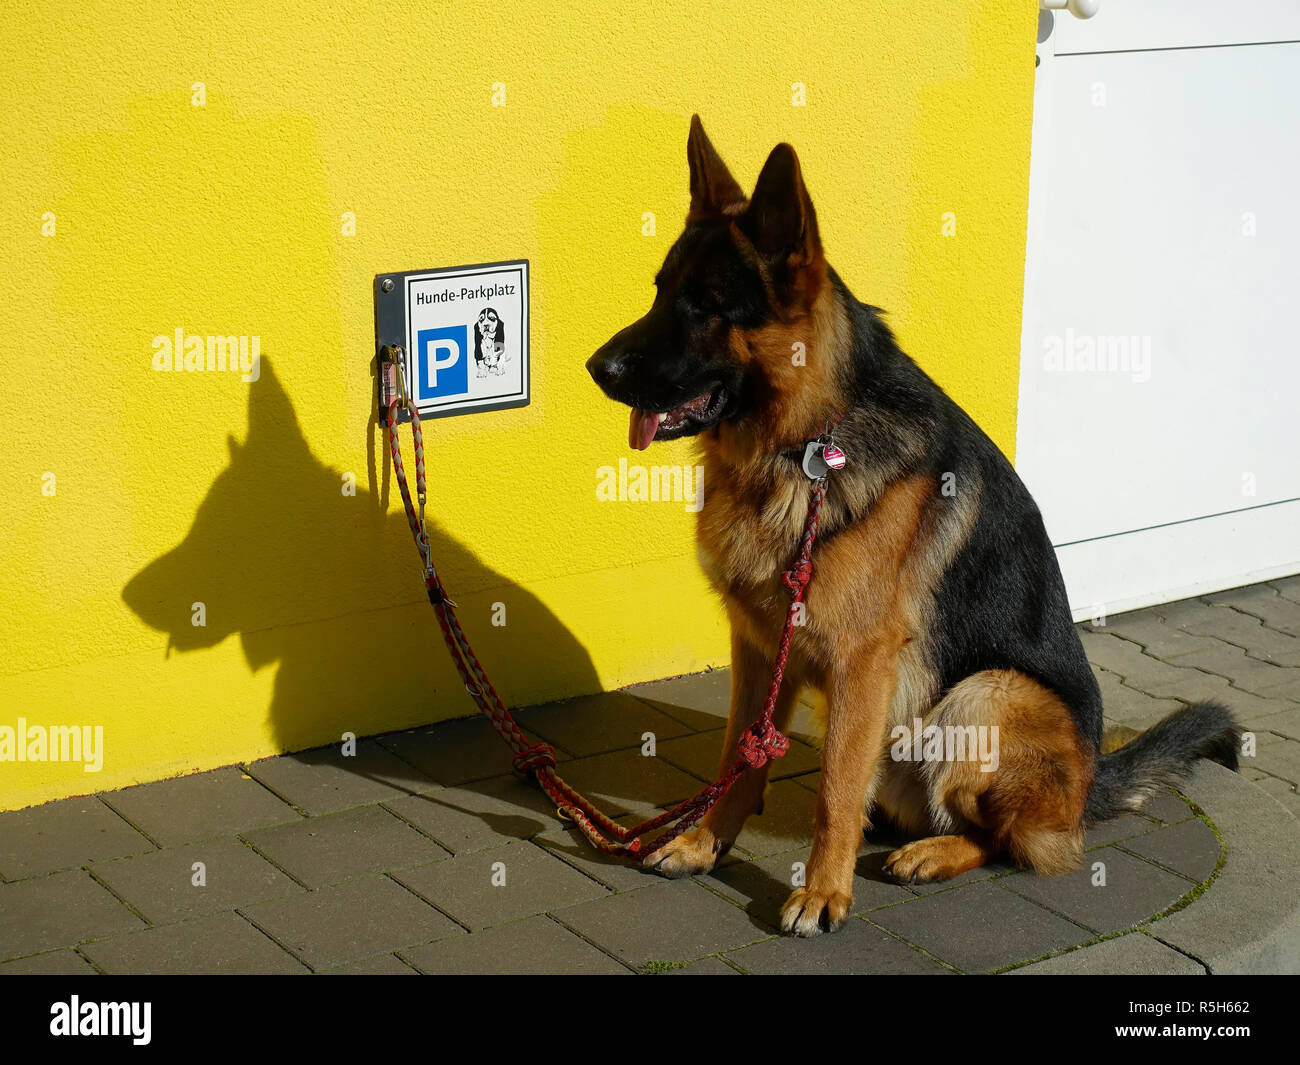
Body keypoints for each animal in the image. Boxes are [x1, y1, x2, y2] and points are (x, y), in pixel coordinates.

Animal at [587, 112, 1237, 936]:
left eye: (705, 304)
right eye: (660, 292)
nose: (595, 368)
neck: (806, 444)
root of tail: (1090, 786)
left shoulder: (862, 661)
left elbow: (834, 792)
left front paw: (822, 892)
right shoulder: (760, 645)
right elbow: (739, 755)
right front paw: (704, 842)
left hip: (984, 696)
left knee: (1016, 840)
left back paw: (934, 853)